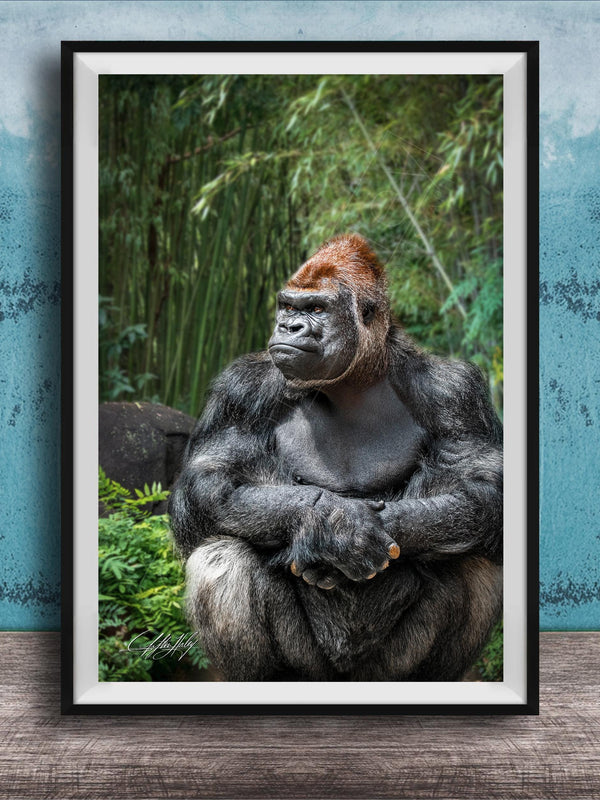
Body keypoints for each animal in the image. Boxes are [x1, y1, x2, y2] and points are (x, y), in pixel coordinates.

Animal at [169, 234, 503, 681]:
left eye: (315, 309)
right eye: (288, 307)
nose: (288, 327)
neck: (356, 379)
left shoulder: (454, 392)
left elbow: (484, 490)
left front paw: (354, 528)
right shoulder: (239, 389)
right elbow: (208, 484)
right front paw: (326, 526)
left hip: (382, 671)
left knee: (469, 556)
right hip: (311, 669)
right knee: (222, 556)